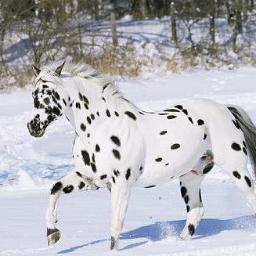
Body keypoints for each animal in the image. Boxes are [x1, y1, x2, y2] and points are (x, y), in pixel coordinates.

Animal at [26, 61, 256, 250]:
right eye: (33, 95)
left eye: (48, 94)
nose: (33, 126)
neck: (101, 127)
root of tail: (225, 109)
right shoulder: (87, 179)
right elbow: (55, 188)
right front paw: (52, 234)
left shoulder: (120, 185)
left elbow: (115, 225)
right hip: (191, 177)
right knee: (196, 210)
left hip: (237, 170)